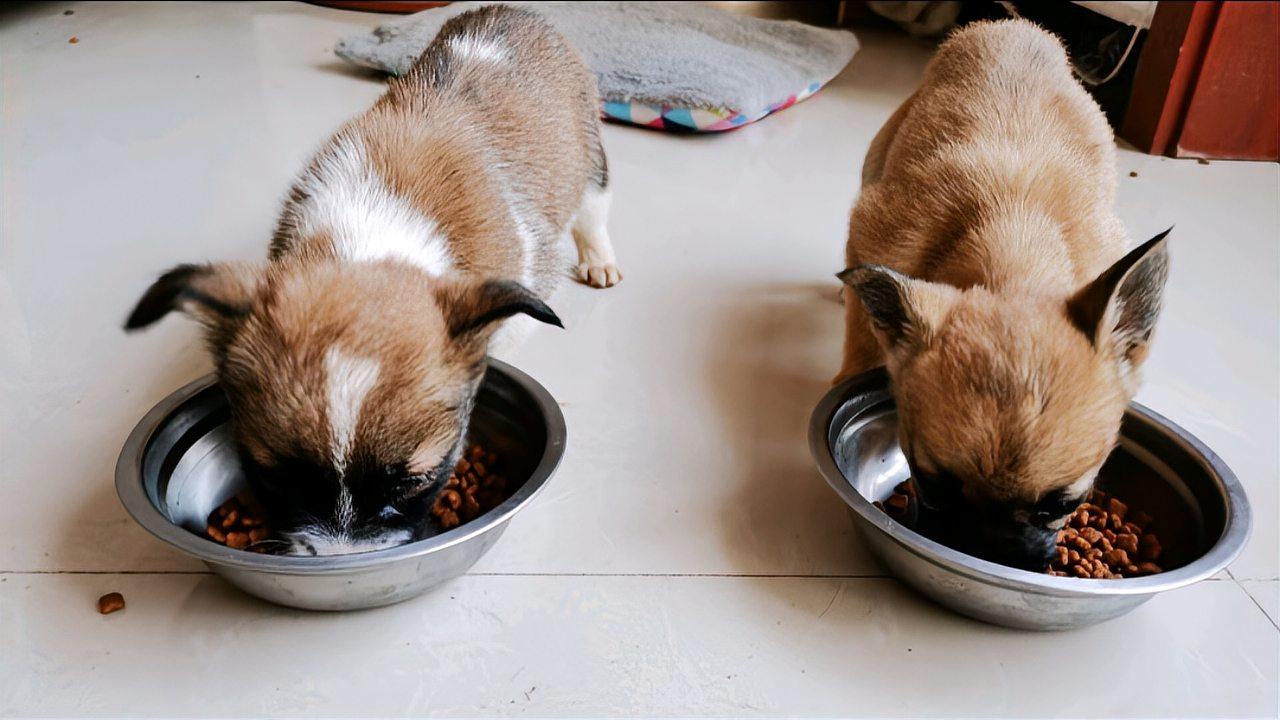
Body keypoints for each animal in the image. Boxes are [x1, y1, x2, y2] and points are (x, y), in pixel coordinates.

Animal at [124, 7, 619, 556]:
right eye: (275, 480)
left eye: (412, 482)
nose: (337, 562)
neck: (366, 244)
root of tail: (513, 12)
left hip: (589, 154)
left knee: (594, 209)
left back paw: (599, 261)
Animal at [834, 20, 1172, 571]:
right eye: (930, 484)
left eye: (1063, 505)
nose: (985, 548)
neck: (1014, 260)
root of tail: (1012, 26)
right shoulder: (869, 241)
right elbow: (861, 337)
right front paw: (850, 373)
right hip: (877, 156)